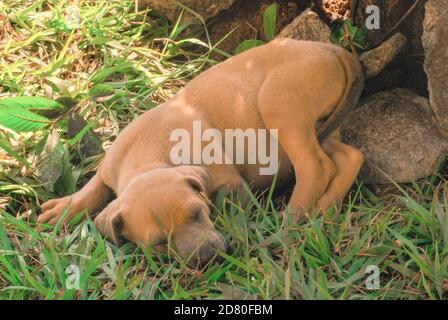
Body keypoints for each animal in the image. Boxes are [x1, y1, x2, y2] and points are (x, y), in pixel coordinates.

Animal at [38, 38, 366, 266]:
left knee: (315, 165)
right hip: (319, 125)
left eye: (197, 213)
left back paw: (291, 220)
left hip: (280, 103)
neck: (148, 157)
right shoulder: (110, 166)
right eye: (159, 243)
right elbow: (94, 188)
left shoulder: (231, 183)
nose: (208, 256)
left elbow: (226, 203)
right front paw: (65, 208)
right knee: (349, 157)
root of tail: (333, 49)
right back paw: (324, 209)